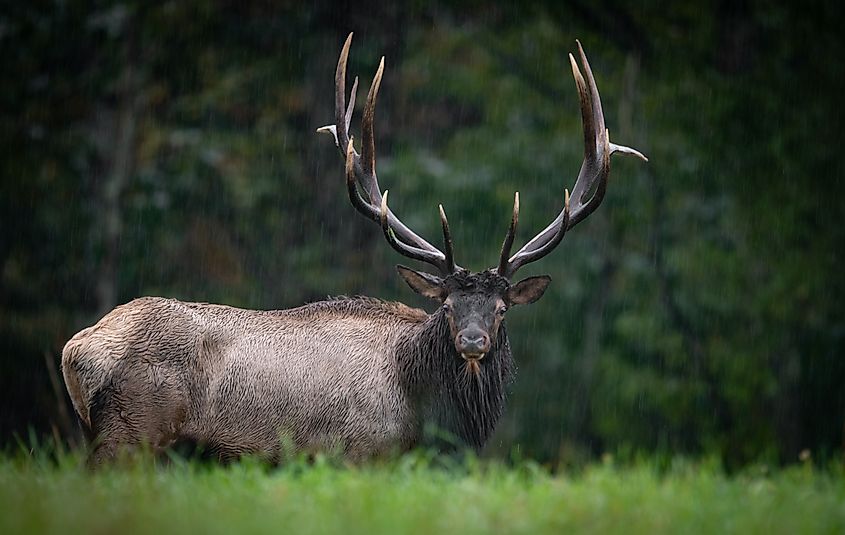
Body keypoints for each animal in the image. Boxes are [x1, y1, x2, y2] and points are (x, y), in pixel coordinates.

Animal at [61, 33, 646, 465]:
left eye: (502, 308)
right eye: (448, 306)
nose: (474, 341)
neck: (427, 415)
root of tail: (78, 350)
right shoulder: (358, 453)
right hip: (131, 433)